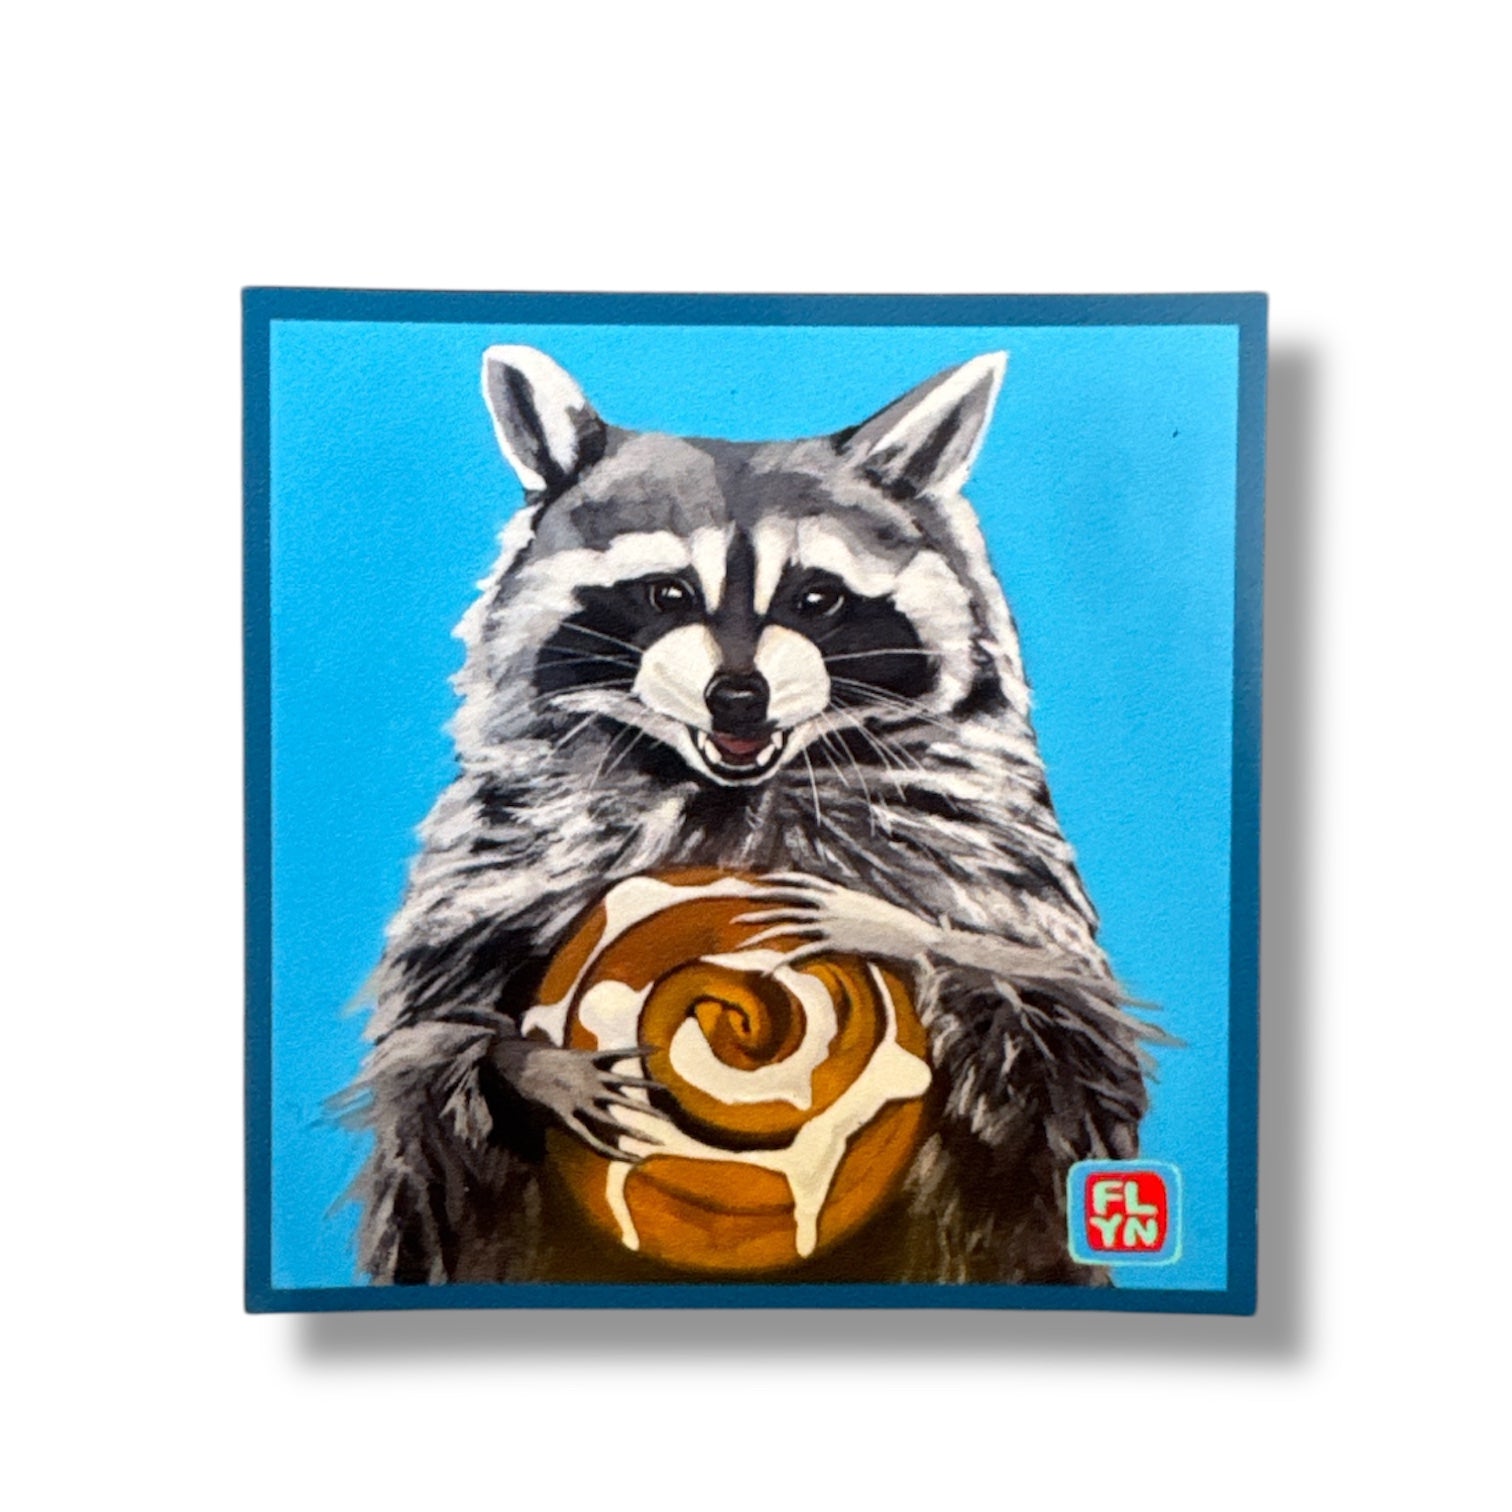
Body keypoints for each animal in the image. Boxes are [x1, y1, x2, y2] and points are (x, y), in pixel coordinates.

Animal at [342, 345, 1151, 1285]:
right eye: (665, 594)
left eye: (815, 600)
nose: (738, 695)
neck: (728, 792)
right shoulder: (494, 860)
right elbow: (431, 1060)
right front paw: (533, 1065)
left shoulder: (987, 852)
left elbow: (1065, 1054)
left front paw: (896, 931)